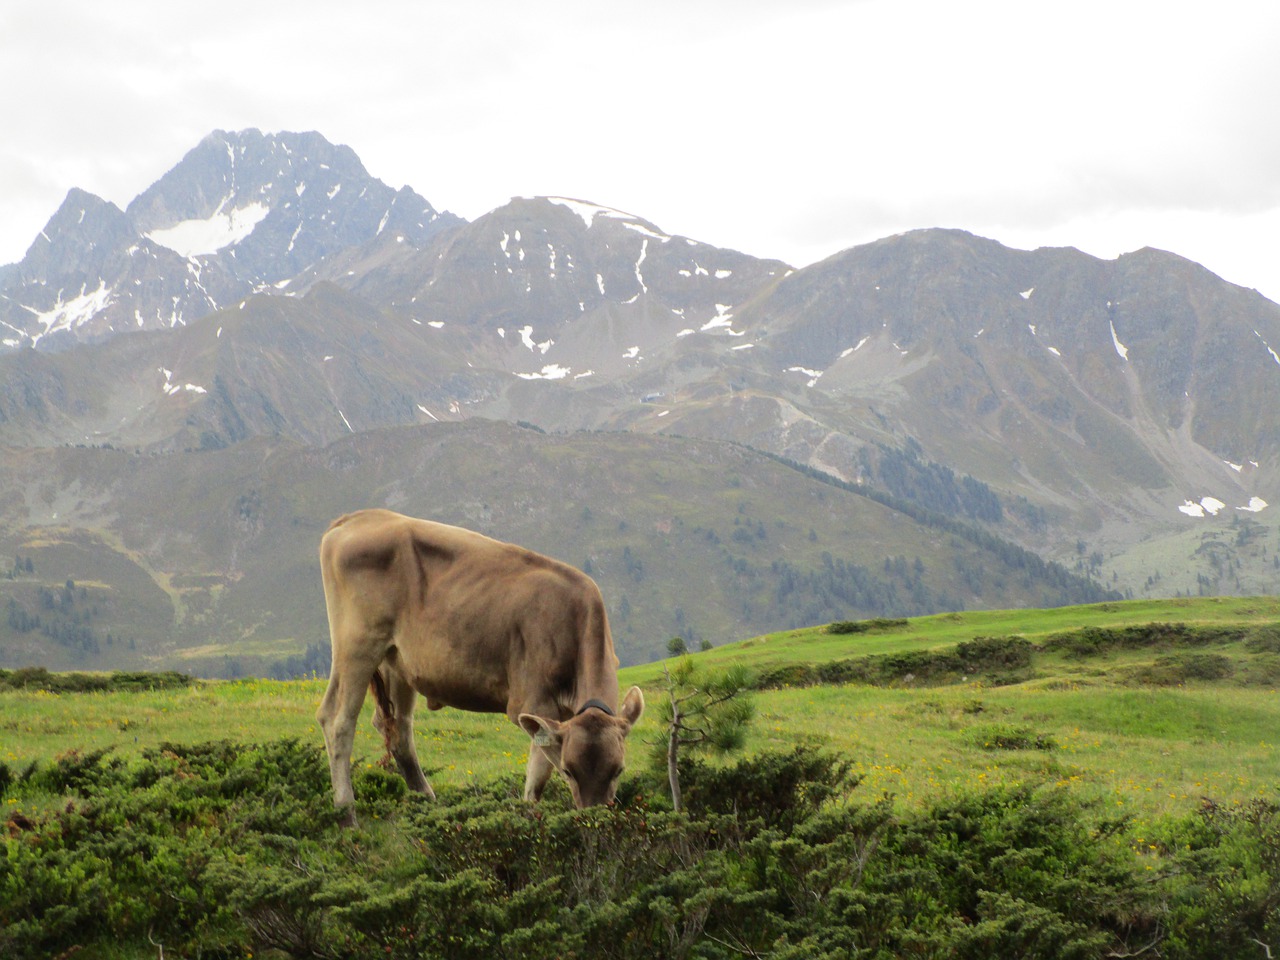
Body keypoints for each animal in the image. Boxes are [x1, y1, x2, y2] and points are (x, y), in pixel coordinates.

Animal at [316, 512, 645, 829]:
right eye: (569, 770)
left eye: (619, 769)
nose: (595, 818)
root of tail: (354, 518)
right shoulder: (533, 702)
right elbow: (537, 779)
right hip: (357, 643)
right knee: (337, 720)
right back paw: (346, 816)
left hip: (397, 661)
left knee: (397, 728)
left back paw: (428, 804)